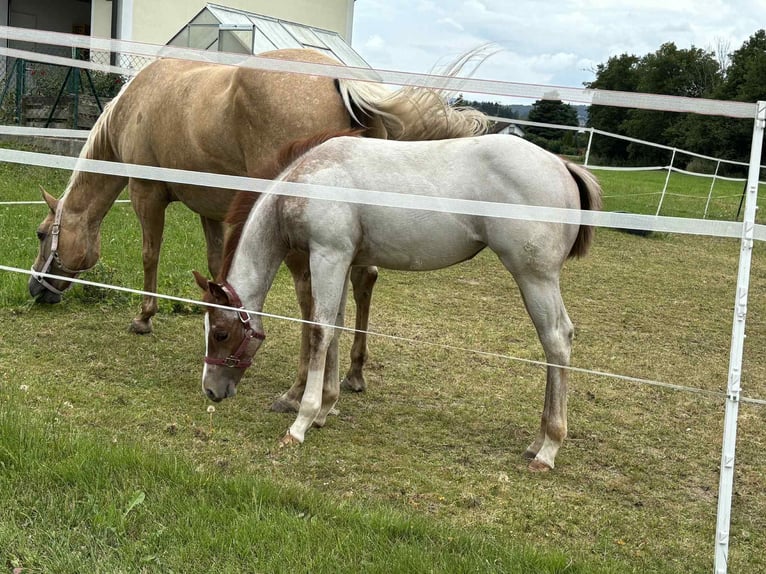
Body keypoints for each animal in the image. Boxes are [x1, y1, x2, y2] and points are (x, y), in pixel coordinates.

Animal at [28, 48, 489, 406]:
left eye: (41, 233)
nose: (35, 289)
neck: (137, 103)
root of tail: (342, 80)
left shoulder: (147, 195)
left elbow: (149, 255)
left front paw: (144, 317)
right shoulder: (212, 211)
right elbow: (216, 264)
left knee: (311, 300)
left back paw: (301, 389)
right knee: (363, 281)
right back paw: (353, 374)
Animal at [194, 130, 602, 471]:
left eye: (221, 333)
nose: (211, 391)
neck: (306, 181)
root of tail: (562, 166)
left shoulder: (328, 256)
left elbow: (320, 331)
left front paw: (301, 422)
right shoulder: (343, 260)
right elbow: (336, 327)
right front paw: (326, 408)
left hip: (535, 278)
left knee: (556, 339)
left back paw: (548, 448)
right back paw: (537, 443)